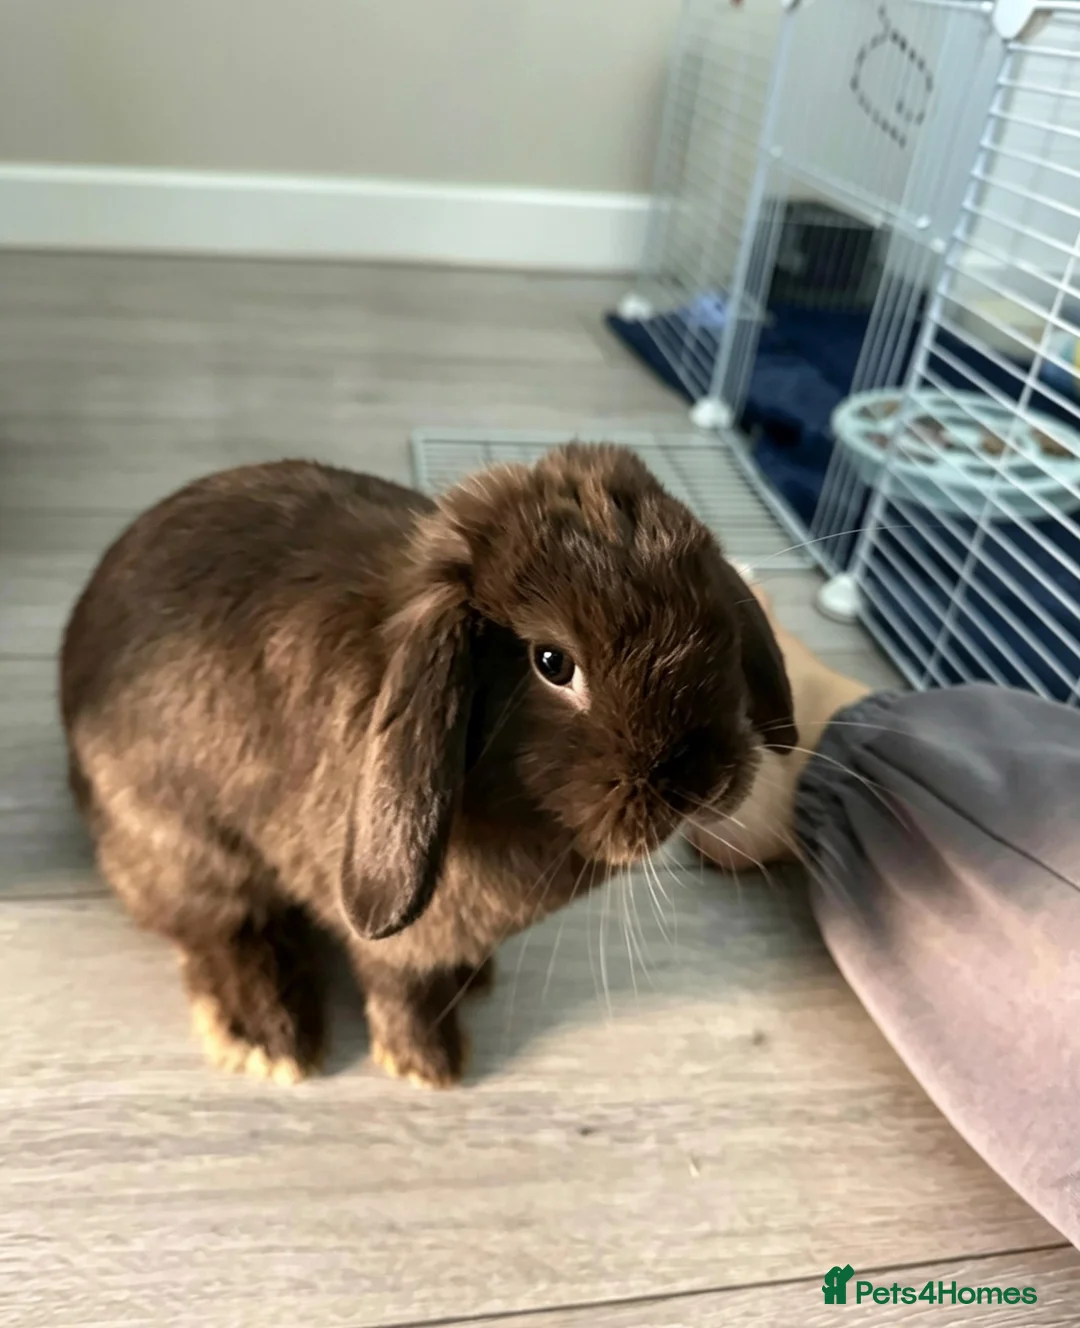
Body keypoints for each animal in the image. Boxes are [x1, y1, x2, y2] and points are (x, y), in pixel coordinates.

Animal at [60, 443, 797, 1088]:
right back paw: (271, 1038)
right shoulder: (400, 942)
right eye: (553, 662)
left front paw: (468, 987)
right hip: (185, 844)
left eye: (716, 624)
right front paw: (431, 1067)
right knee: (221, 929)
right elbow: (401, 990)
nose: (703, 780)